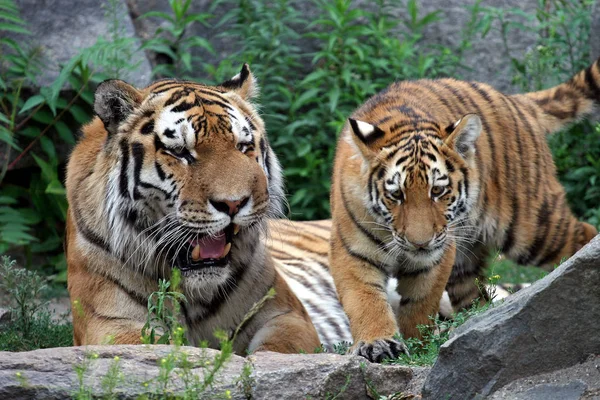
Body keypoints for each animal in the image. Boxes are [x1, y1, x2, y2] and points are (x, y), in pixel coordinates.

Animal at [65, 66, 324, 356]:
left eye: (243, 146)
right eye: (180, 152)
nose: (233, 203)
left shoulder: (287, 315)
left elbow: (278, 350)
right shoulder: (111, 323)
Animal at [328, 54, 600, 360]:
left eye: (437, 191)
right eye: (396, 195)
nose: (419, 243)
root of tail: (516, 101)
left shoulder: (437, 255)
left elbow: (420, 304)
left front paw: (419, 345)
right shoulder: (351, 250)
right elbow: (364, 299)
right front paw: (378, 343)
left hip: (531, 227)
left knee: (581, 233)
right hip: (469, 263)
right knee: (477, 298)